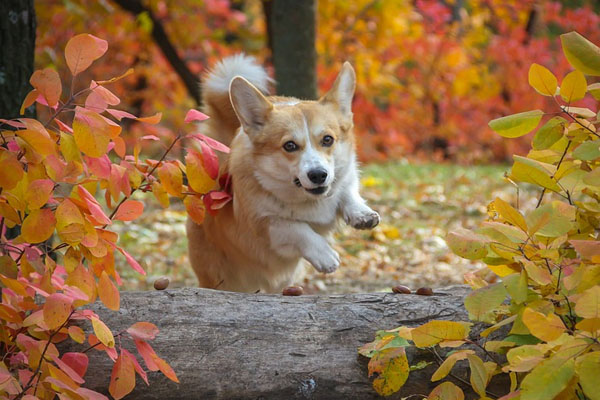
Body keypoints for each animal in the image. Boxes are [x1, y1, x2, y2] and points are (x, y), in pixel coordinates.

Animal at [186, 54, 380, 292]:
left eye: (328, 139)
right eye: (289, 146)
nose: (318, 175)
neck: (309, 200)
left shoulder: (347, 177)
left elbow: (348, 193)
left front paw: (362, 214)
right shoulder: (265, 225)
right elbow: (296, 228)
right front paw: (325, 255)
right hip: (221, 278)